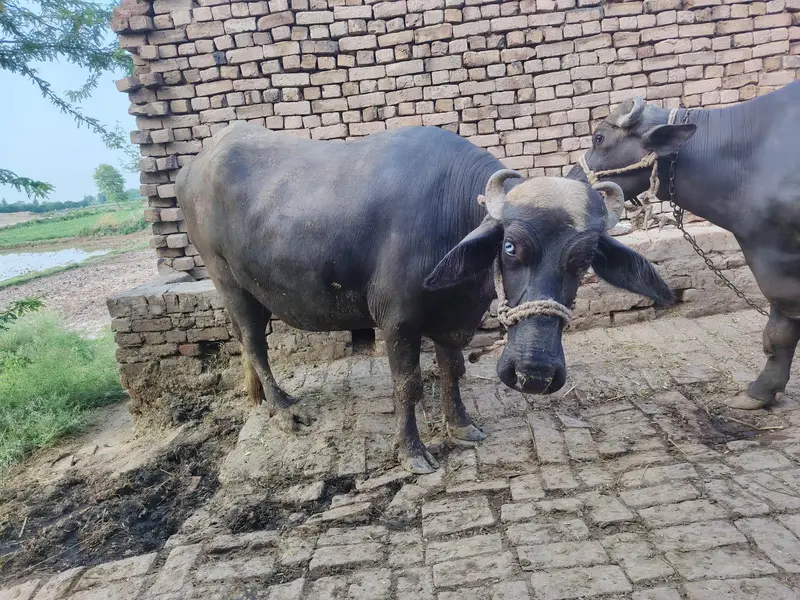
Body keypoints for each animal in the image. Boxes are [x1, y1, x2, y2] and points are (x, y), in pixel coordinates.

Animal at [176, 122, 674, 473]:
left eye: (584, 259)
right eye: (510, 247)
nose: (534, 374)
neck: (448, 214)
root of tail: (194, 167)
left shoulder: (457, 318)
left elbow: (453, 371)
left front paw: (461, 426)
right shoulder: (397, 320)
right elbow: (408, 384)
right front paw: (412, 452)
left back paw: (260, 398)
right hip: (228, 281)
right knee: (254, 343)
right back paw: (283, 409)